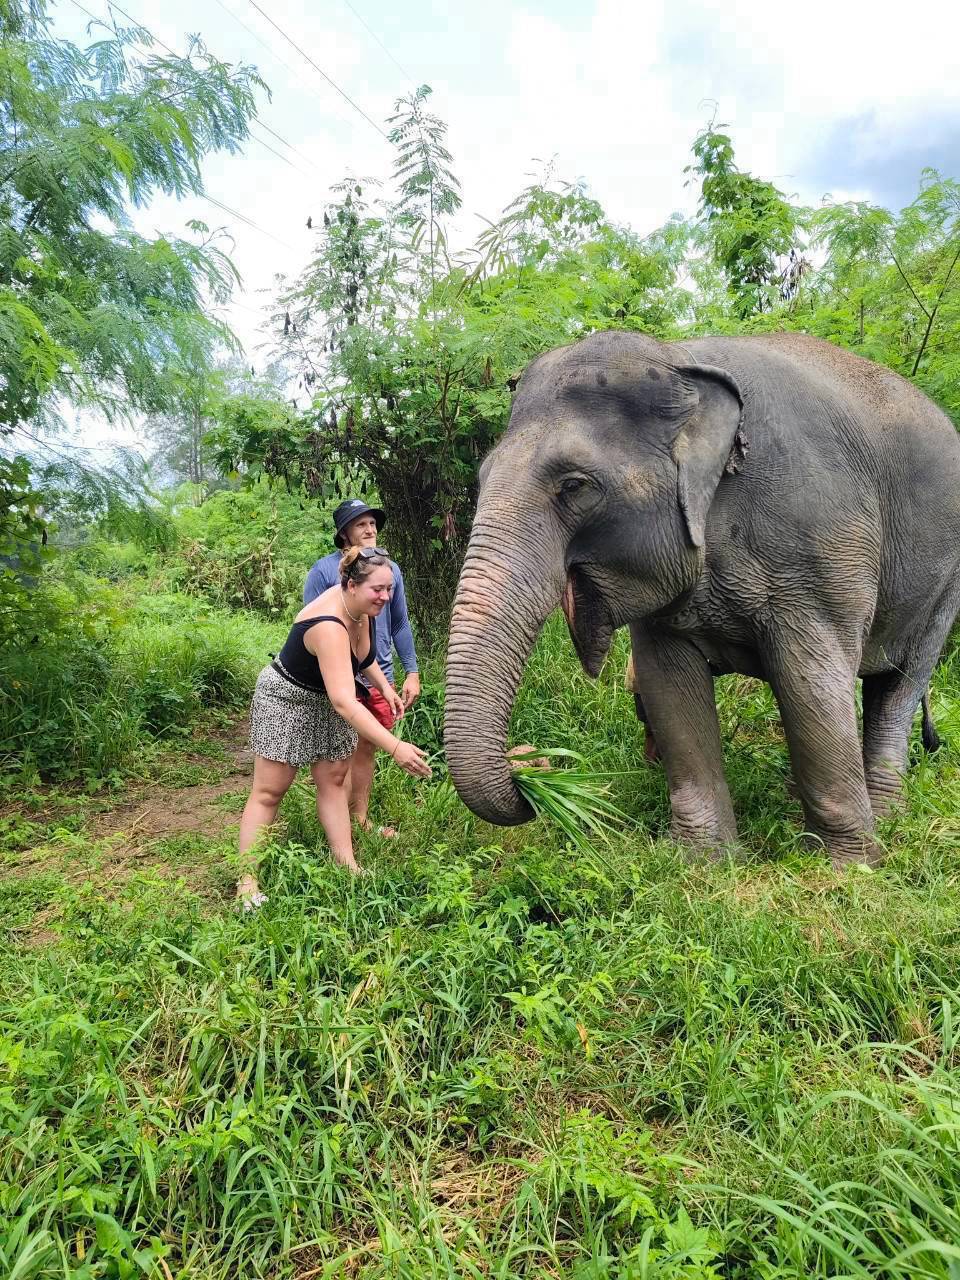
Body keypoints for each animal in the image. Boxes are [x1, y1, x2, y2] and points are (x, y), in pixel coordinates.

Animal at [444, 330, 960, 867]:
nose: (532, 771)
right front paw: (702, 861)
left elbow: (810, 681)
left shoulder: (822, 539)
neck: (681, 359)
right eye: (482, 478)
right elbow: (668, 684)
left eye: (574, 485)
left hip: (945, 584)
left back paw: (889, 816)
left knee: (899, 685)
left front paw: (846, 867)